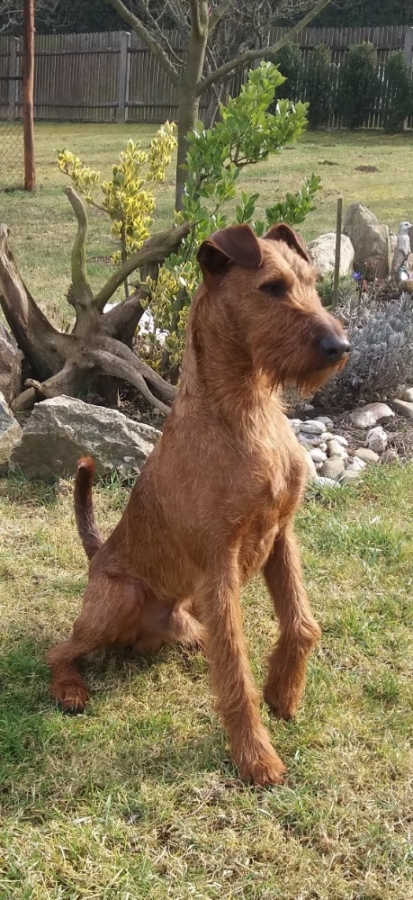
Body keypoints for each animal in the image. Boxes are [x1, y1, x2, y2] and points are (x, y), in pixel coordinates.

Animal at [47, 223, 350, 786]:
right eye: (271, 288)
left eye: (312, 283)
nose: (339, 345)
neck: (248, 413)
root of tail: (98, 554)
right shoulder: (219, 562)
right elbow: (235, 673)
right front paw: (256, 757)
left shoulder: (281, 534)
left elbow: (301, 624)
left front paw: (283, 694)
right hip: (120, 600)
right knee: (59, 649)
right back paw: (71, 689)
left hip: (188, 614)